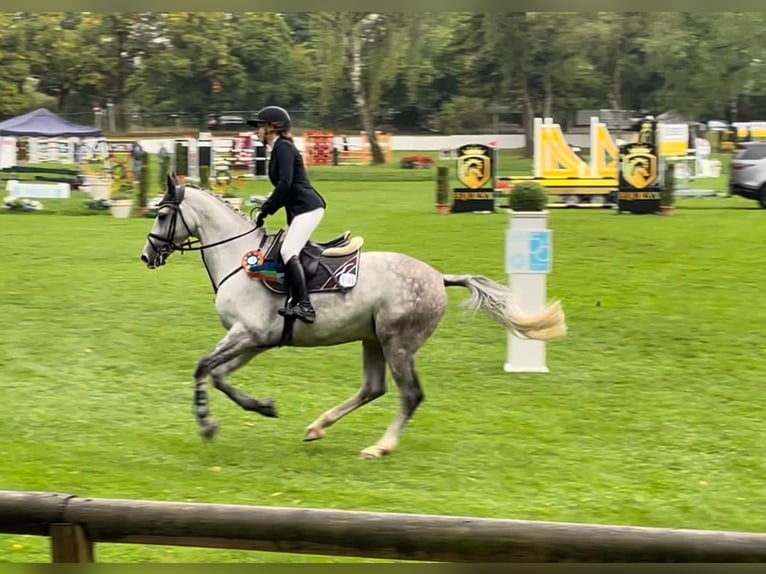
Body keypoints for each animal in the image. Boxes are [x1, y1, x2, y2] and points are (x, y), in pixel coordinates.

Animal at [140, 175, 567, 459]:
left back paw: (380, 446)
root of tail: (439, 278)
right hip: (372, 339)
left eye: (161, 216)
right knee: (373, 389)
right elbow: (220, 376)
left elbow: (202, 368)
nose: (147, 256)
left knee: (410, 394)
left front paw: (205, 423)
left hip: (398, 342)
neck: (239, 260)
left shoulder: (247, 334)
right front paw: (262, 407)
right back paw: (318, 428)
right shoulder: (254, 340)